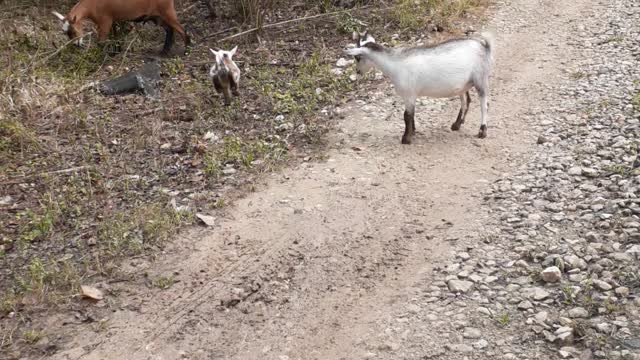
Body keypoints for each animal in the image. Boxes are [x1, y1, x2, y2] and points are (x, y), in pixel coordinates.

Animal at [51, 0, 191, 54]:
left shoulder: (105, 21)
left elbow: (101, 42)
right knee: (170, 30)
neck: (92, 5)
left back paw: (187, 50)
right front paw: (116, 51)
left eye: (74, 30)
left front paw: (100, 57)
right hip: (158, 17)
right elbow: (116, 36)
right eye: (65, 33)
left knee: (182, 30)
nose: (76, 44)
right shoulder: (113, 20)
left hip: (167, 12)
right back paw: (164, 51)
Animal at [344, 31, 496, 143]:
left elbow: (407, 115)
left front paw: (406, 138)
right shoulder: (412, 96)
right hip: (464, 83)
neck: (393, 64)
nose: (358, 72)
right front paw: (413, 131)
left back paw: (482, 131)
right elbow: (412, 114)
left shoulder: (409, 94)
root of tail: (483, 45)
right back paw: (457, 124)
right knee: (466, 100)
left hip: (481, 78)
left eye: (357, 58)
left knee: (484, 104)